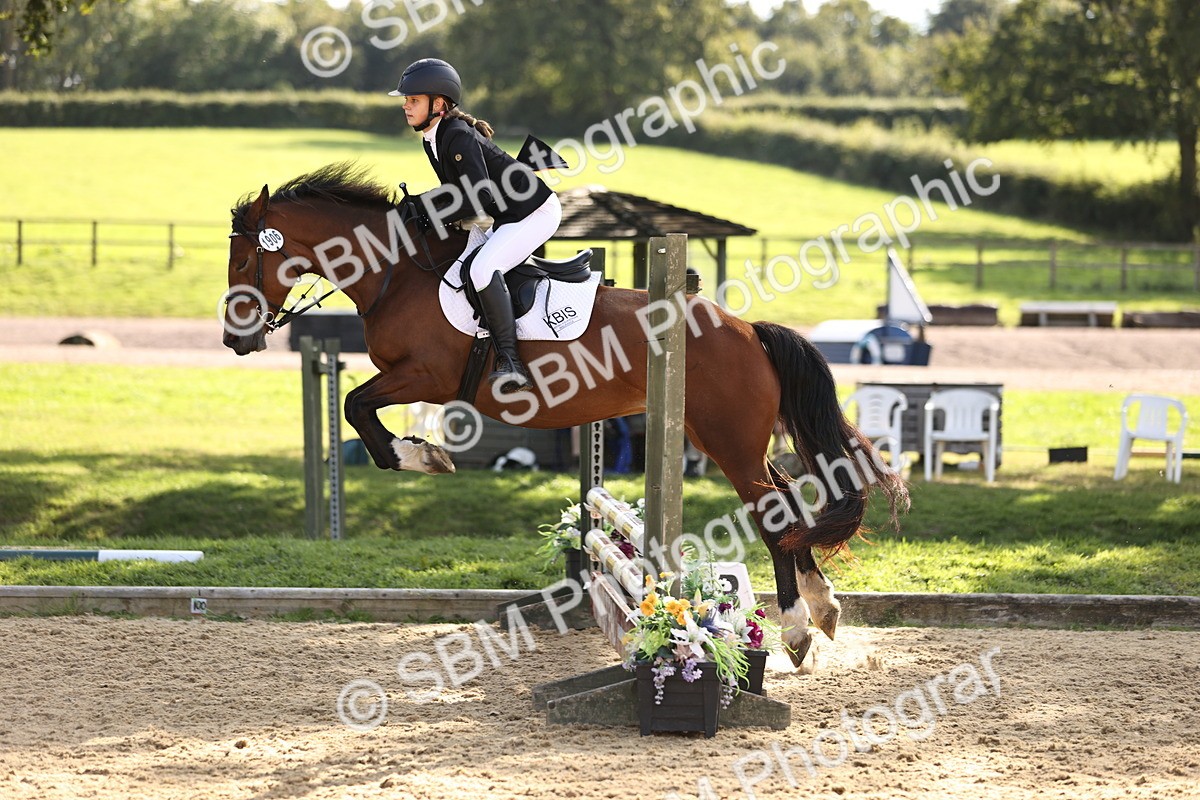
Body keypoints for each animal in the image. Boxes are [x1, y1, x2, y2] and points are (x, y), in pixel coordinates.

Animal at [223, 163, 908, 667]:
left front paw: (422, 455)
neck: (396, 274)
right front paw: (426, 453)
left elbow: (356, 407)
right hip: (726, 437)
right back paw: (822, 606)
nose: (235, 340)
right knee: (788, 503)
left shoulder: (425, 375)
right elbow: (356, 408)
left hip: (728, 441)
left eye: (243, 261)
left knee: (773, 514)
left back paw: (794, 627)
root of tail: (748, 330)